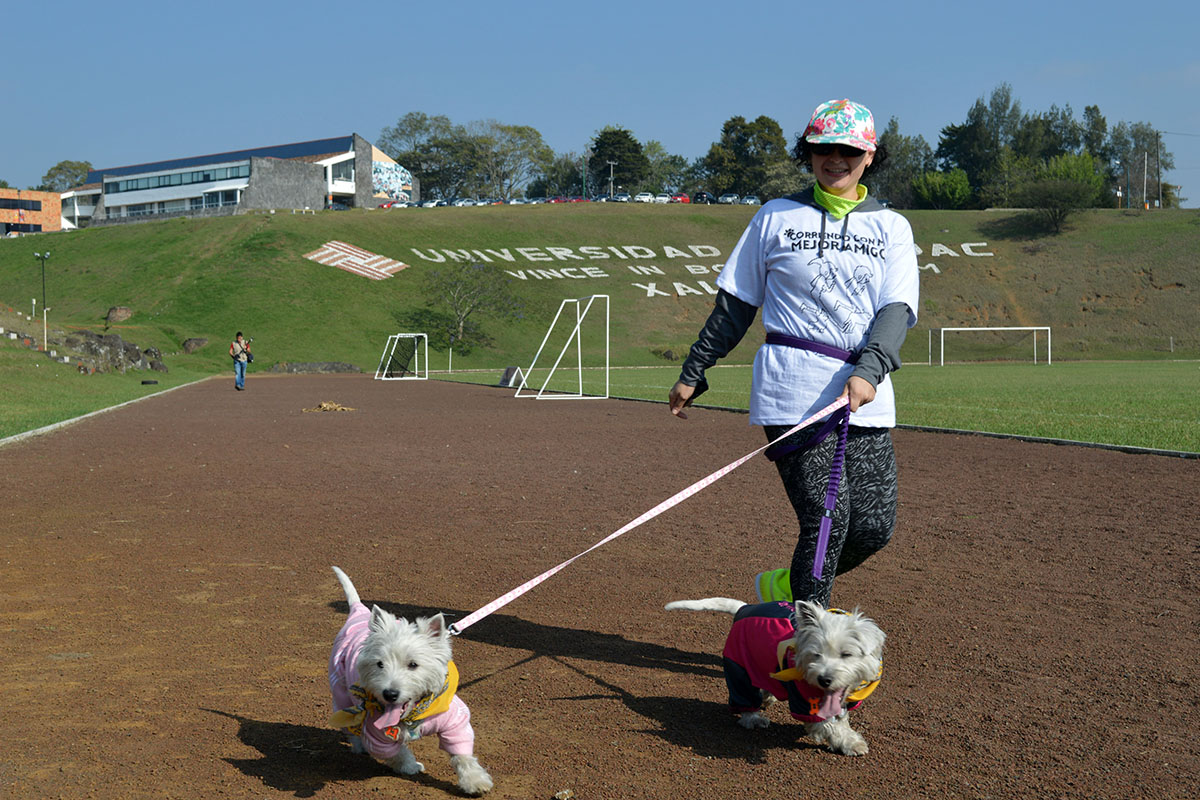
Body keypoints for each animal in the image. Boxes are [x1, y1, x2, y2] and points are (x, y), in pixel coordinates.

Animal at [328, 568, 492, 796]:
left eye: (413, 664)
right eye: (379, 664)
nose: (390, 694)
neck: (413, 714)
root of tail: (358, 611)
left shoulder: (455, 722)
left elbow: (463, 755)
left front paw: (475, 781)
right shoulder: (377, 734)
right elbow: (396, 753)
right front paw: (410, 766)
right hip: (341, 691)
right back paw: (358, 745)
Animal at [667, 599, 883, 758]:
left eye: (846, 654)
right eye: (816, 654)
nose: (824, 679)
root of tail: (744, 608)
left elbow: (840, 718)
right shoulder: (803, 700)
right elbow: (828, 724)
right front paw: (849, 742)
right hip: (738, 666)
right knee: (744, 698)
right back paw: (753, 718)